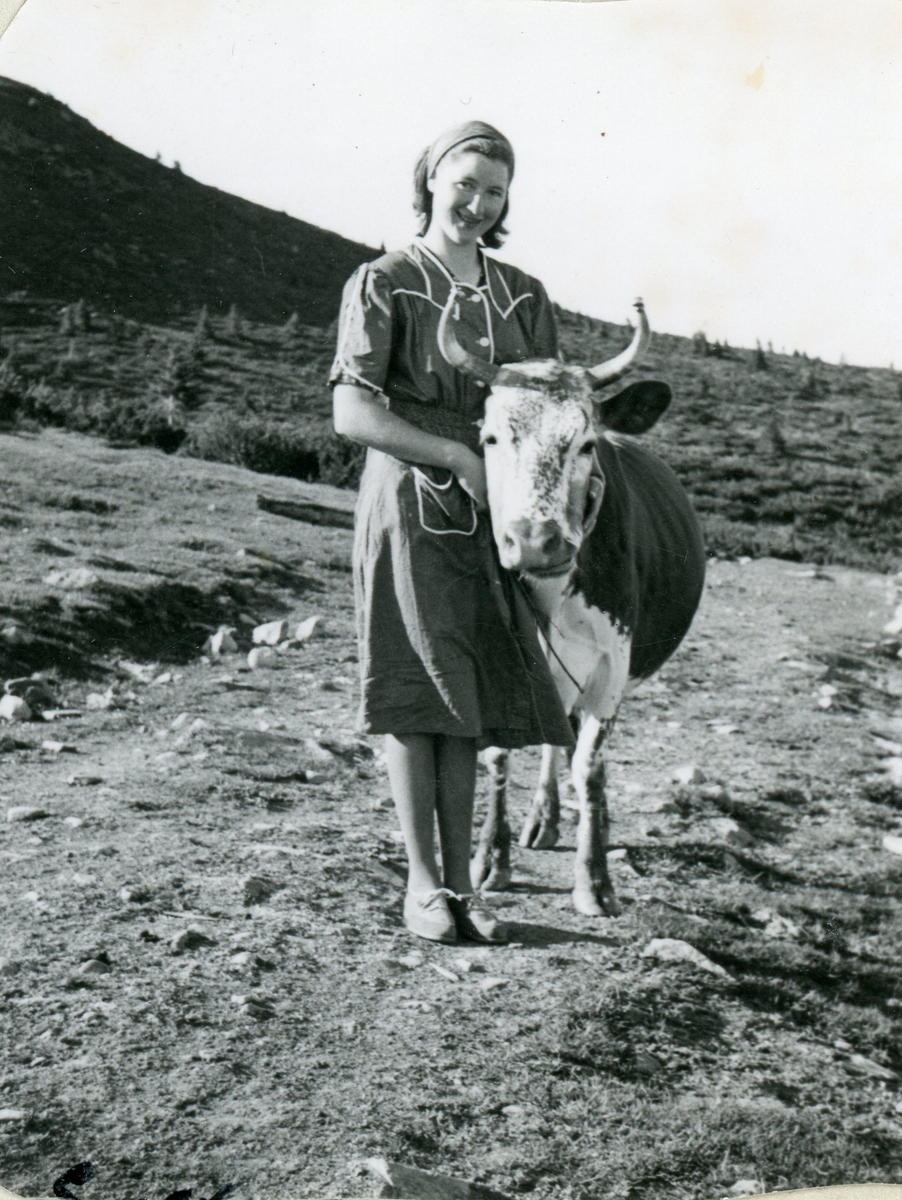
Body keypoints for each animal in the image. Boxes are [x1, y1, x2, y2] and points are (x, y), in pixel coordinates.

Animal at [436, 295, 705, 912]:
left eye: (585, 443)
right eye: (490, 438)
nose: (537, 540)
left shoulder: (612, 666)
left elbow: (589, 766)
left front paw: (594, 879)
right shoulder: (499, 654)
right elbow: (500, 754)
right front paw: (490, 859)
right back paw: (542, 820)